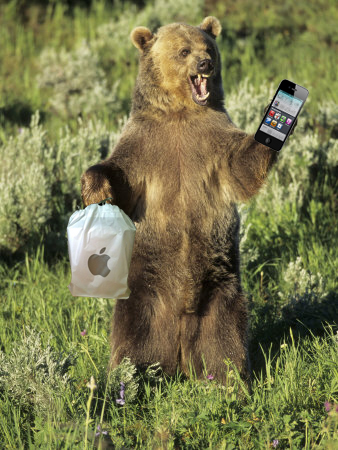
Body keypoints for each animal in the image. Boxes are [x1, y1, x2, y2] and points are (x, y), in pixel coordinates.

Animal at [81, 17, 278, 384]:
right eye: (183, 51)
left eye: (208, 47)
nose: (205, 63)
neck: (180, 112)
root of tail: (181, 346)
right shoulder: (144, 144)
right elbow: (121, 177)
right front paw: (94, 185)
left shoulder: (212, 138)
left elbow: (240, 168)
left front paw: (271, 133)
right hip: (144, 286)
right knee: (132, 334)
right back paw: (132, 377)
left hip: (221, 289)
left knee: (225, 337)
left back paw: (228, 380)